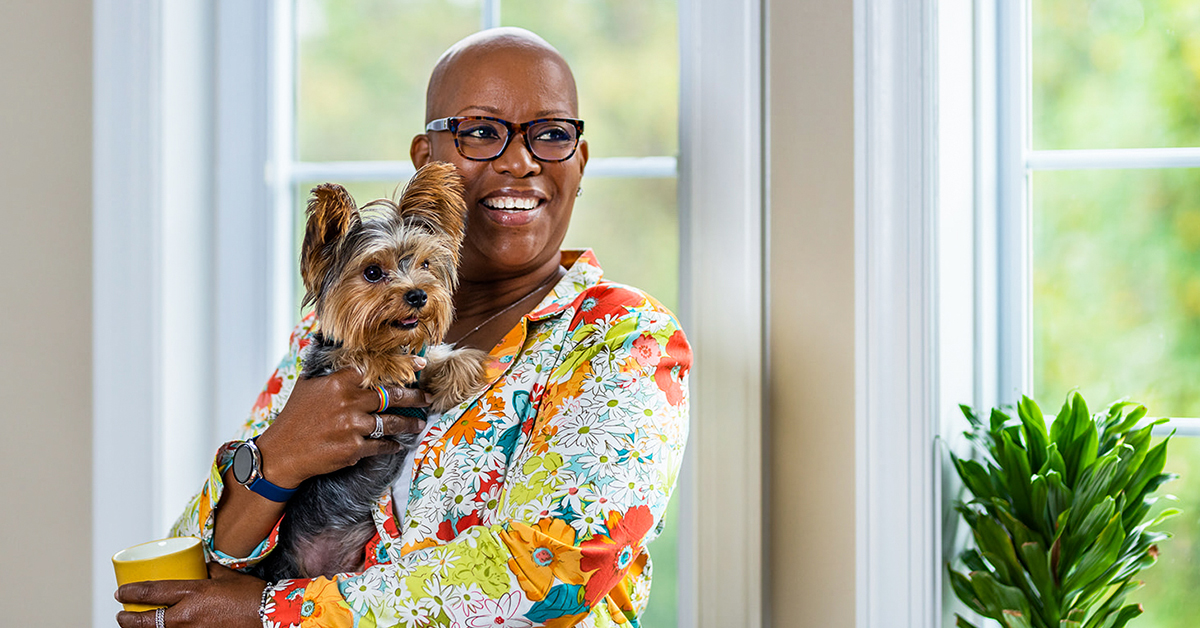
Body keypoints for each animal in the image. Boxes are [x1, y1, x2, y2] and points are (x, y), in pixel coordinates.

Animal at [248, 160, 492, 581]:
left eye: (425, 264)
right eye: (373, 272)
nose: (418, 295)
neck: (390, 339)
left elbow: (433, 361)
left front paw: (461, 367)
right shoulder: (329, 363)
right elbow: (357, 355)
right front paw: (389, 362)